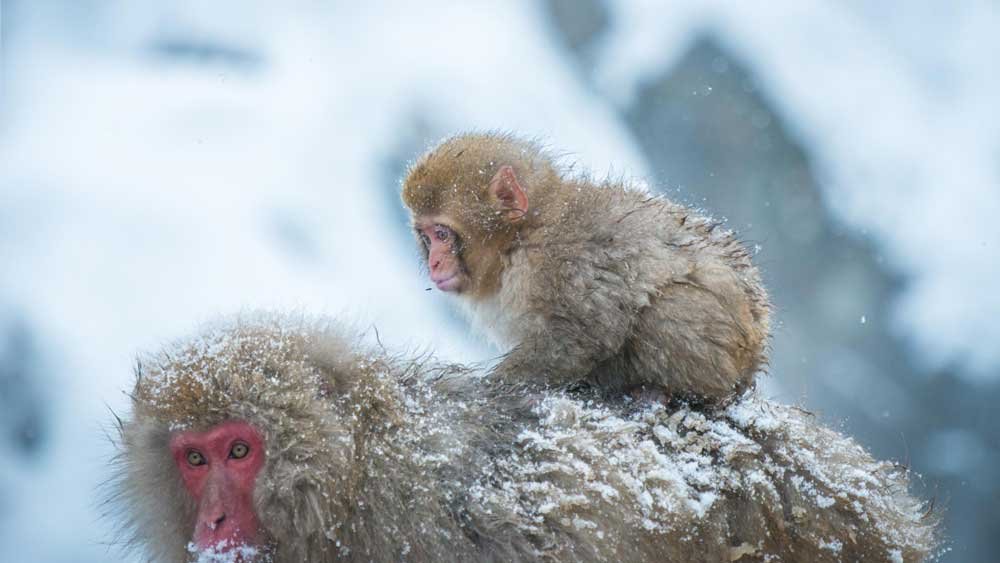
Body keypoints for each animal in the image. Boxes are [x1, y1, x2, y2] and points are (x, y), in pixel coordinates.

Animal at [401, 132, 771, 405]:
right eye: (426, 236)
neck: (519, 240)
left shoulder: (561, 262)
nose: (434, 262)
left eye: (442, 234)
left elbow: (582, 336)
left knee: (668, 307)